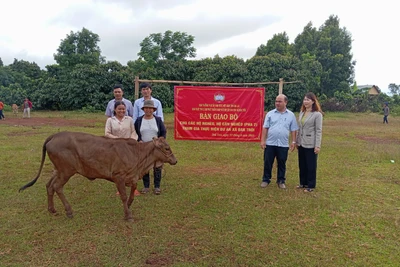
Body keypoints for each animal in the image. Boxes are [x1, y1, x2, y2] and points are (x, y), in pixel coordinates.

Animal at [18, 132, 178, 222]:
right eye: (166, 148)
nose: (175, 160)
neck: (137, 155)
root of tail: (54, 136)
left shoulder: (131, 177)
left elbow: (132, 192)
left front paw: (129, 205)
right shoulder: (118, 176)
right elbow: (123, 196)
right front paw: (128, 215)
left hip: (58, 170)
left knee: (49, 185)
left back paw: (52, 209)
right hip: (66, 170)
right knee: (57, 187)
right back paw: (69, 211)